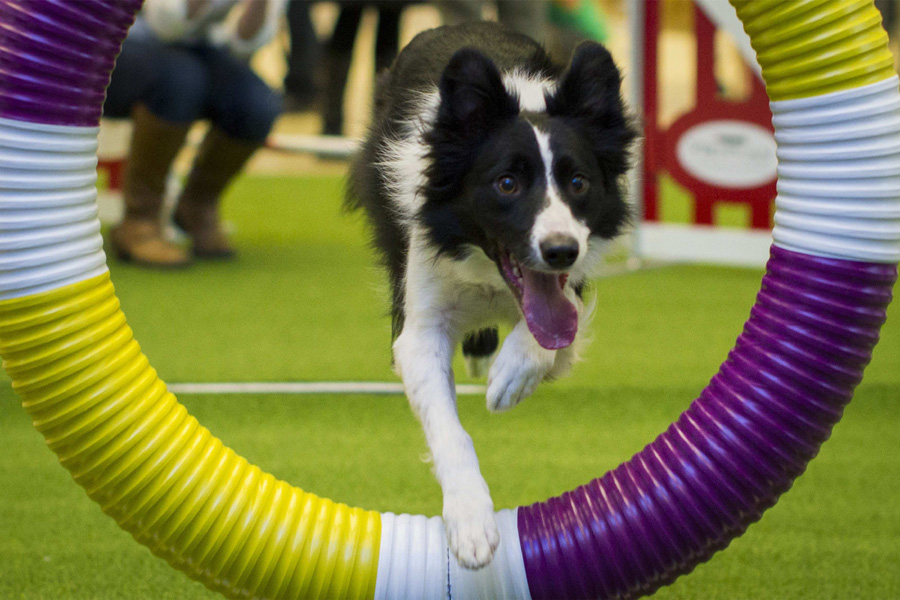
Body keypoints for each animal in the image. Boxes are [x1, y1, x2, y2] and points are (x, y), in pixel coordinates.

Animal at [348, 22, 636, 568]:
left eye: (578, 182)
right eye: (506, 184)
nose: (560, 251)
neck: (490, 274)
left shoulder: (572, 286)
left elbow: (555, 332)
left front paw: (510, 377)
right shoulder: (419, 320)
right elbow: (447, 426)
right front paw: (470, 522)